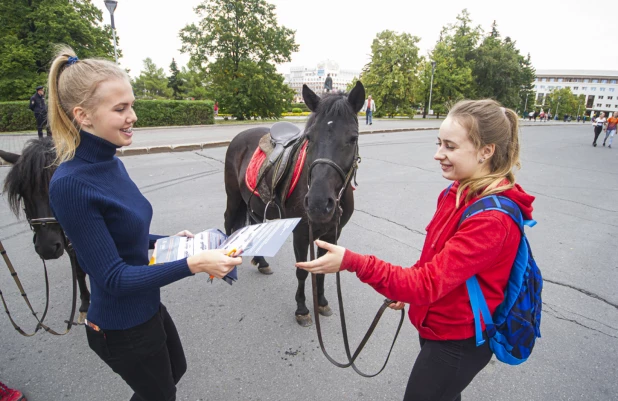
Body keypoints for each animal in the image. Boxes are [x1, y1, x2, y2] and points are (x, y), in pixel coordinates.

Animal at [223, 80, 364, 324]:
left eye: (352, 138)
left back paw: (261, 261)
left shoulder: (332, 234)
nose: (318, 204)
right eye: (309, 137)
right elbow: (302, 270)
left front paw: (322, 303)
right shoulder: (300, 233)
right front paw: (302, 308)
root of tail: (240, 136)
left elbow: (322, 269)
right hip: (233, 198)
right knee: (228, 222)